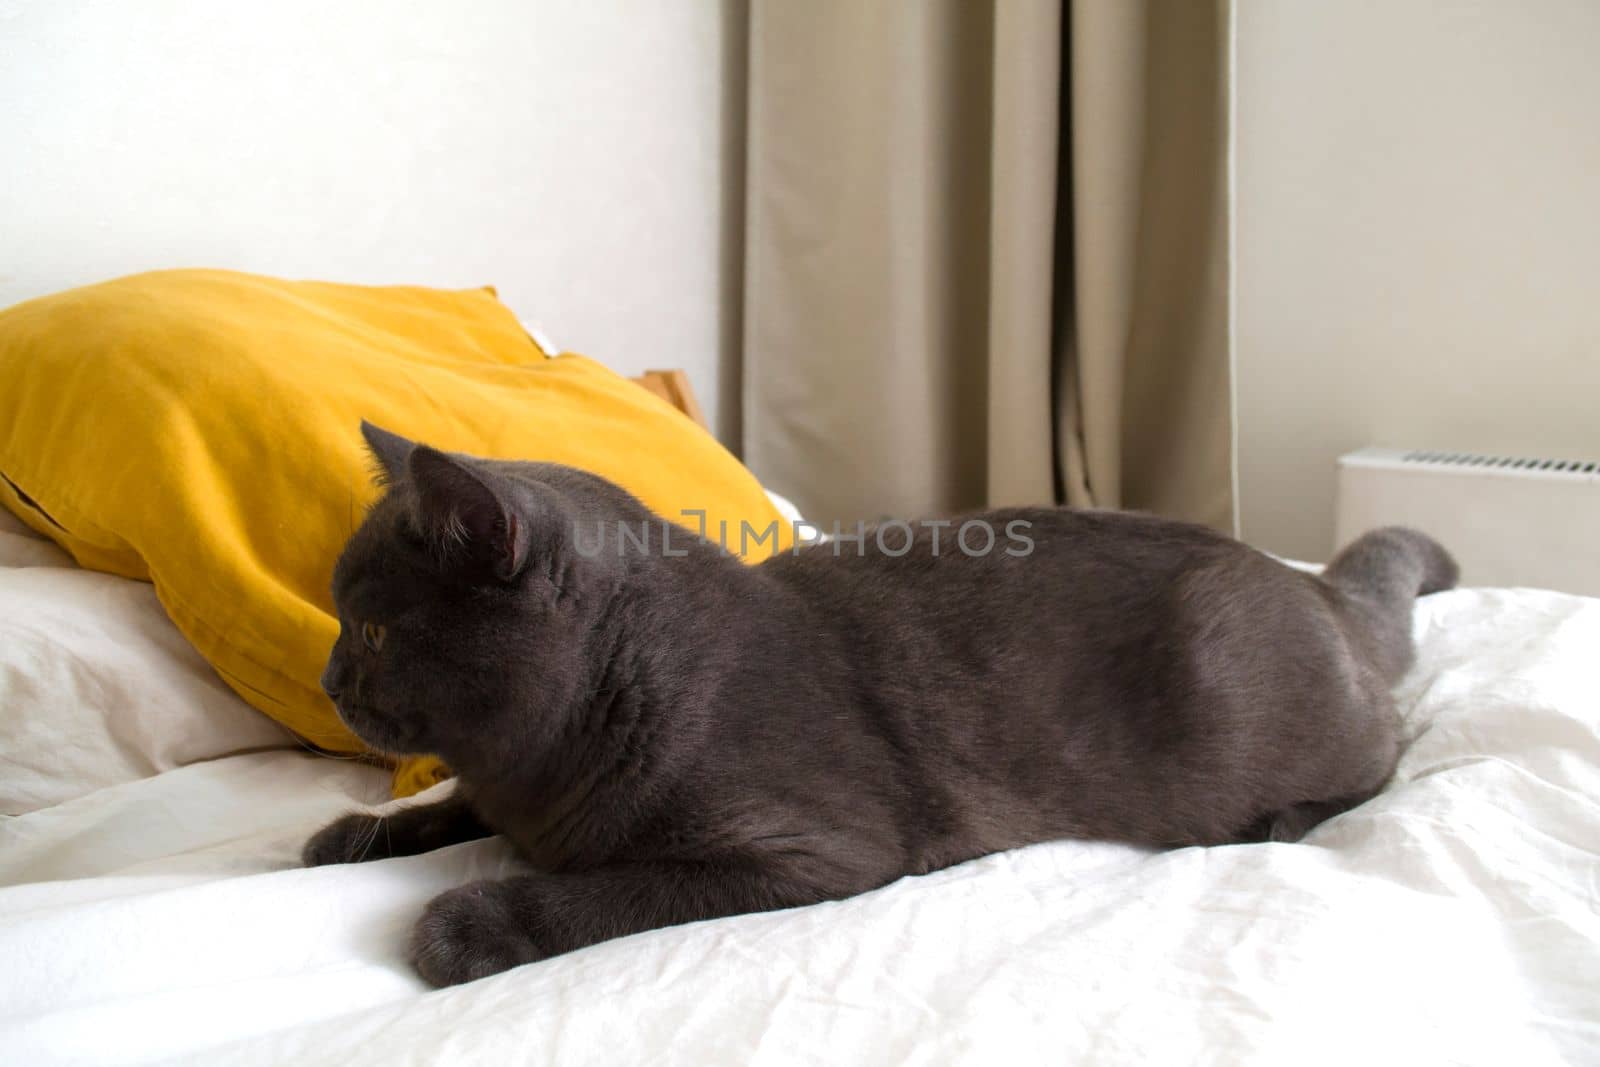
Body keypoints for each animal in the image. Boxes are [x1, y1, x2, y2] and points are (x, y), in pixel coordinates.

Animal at [302, 422, 1465, 991]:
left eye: (371, 630)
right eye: (342, 621)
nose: (329, 678)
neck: (540, 763)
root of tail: (1315, 586)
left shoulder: (810, 851)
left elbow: (613, 889)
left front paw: (469, 922)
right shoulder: (501, 791)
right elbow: (450, 806)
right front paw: (352, 833)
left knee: (1391, 749)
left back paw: (1278, 820)